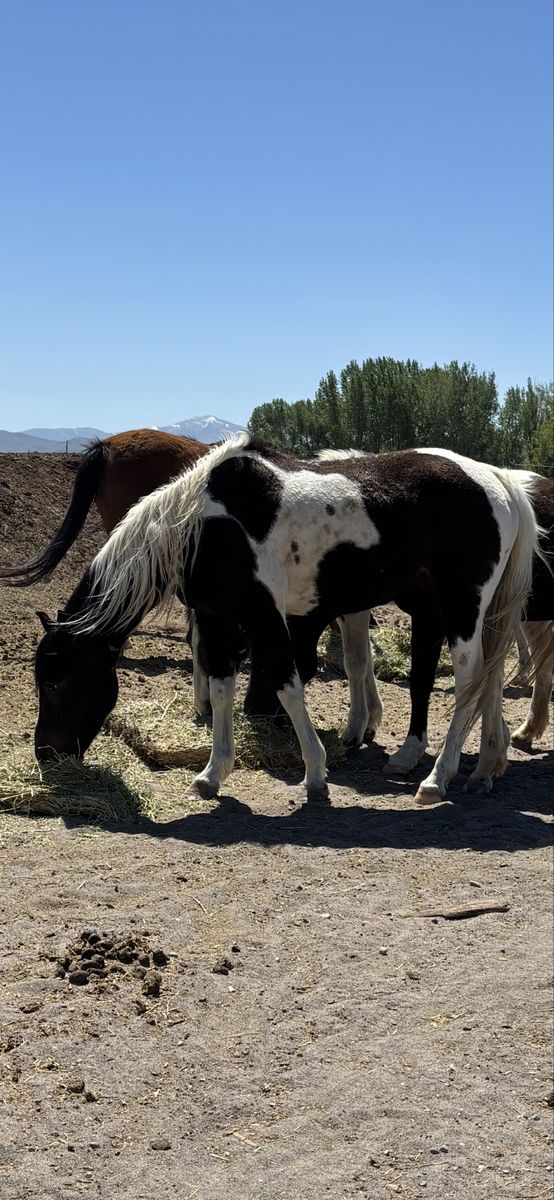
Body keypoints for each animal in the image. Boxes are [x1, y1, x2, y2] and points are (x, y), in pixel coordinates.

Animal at [33, 435, 541, 807]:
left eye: (55, 683)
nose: (46, 755)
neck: (204, 525)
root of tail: (497, 479)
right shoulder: (218, 620)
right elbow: (221, 690)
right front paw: (212, 773)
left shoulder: (264, 618)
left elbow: (287, 686)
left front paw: (316, 774)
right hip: (475, 611)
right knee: (489, 680)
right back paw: (485, 767)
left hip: (461, 608)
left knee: (468, 683)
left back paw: (438, 778)